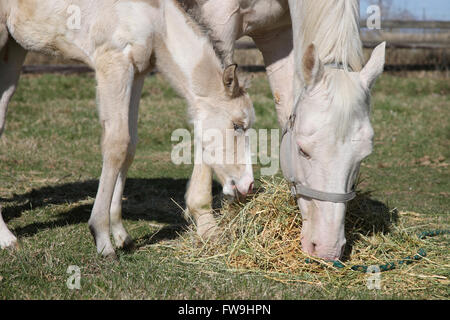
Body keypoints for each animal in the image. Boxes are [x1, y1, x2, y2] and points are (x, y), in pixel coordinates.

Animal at [0, 0, 253, 258]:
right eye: (237, 125)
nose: (248, 185)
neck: (156, 18)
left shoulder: (137, 71)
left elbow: (129, 147)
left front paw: (121, 235)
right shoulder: (113, 63)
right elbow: (117, 145)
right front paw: (103, 239)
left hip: (13, 50)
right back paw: (7, 238)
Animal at [184, 0, 386, 260]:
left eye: (363, 156)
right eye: (302, 150)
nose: (327, 249)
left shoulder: (277, 33)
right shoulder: (217, 21)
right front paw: (209, 227)